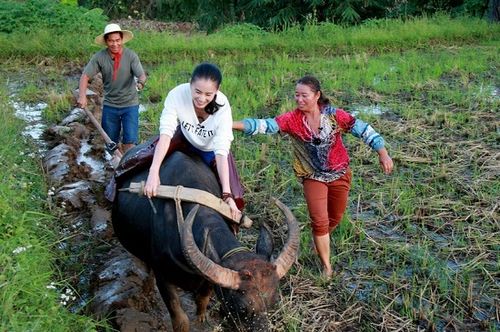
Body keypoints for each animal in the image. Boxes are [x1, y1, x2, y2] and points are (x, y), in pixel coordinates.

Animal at [112, 151, 300, 332]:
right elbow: (180, 319)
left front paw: (202, 318)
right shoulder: (163, 278)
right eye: (242, 309)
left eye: (273, 304)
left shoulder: (209, 280)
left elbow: (202, 299)